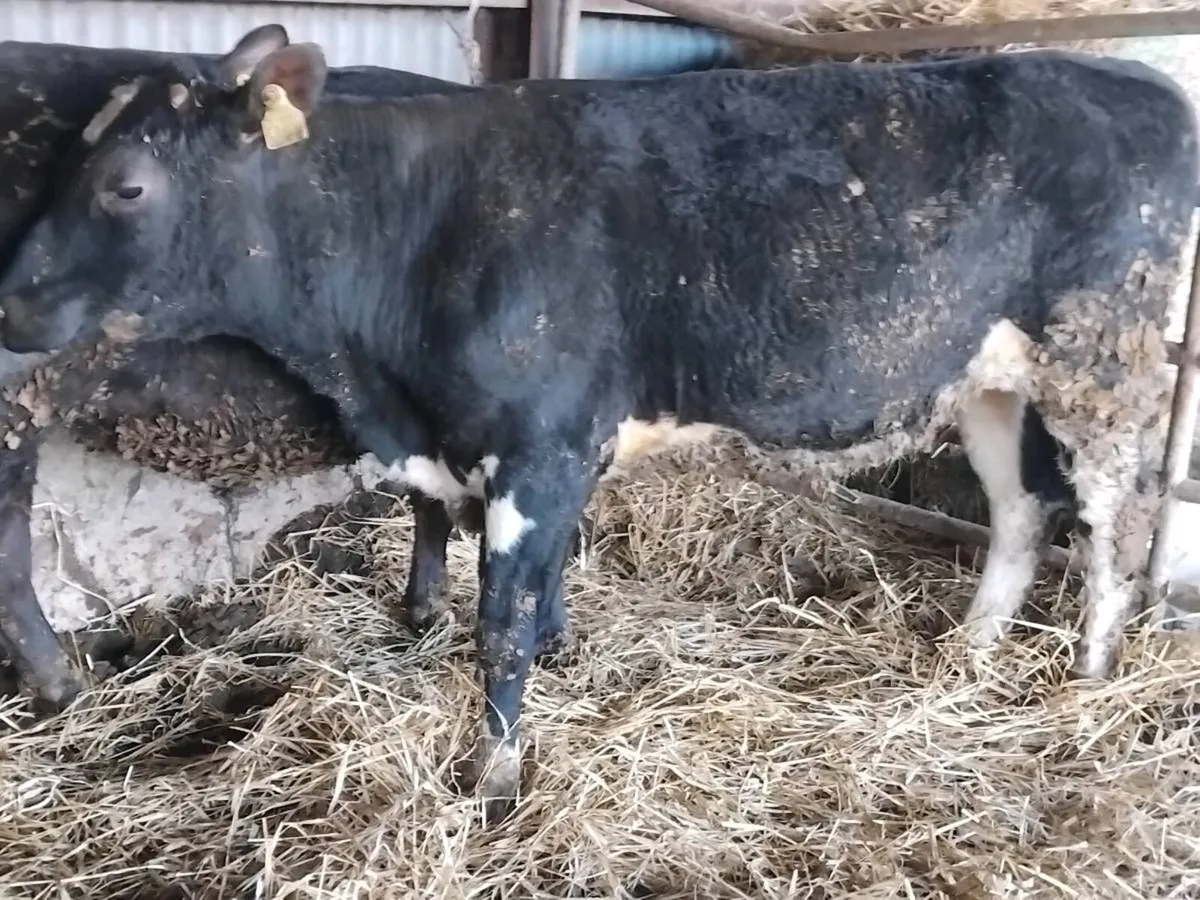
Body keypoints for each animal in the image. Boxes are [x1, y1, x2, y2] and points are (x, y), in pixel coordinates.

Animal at [0, 29, 1193, 821]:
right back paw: (970, 655)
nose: (7, 299)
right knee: (1020, 511)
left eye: (126, 185)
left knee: (1116, 528)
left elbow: (502, 628)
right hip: (986, 377)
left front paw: (494, 783)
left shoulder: (539, 447)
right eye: (61, 164)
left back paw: (1088, 682)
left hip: (1105, 368)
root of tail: (1135, 77)